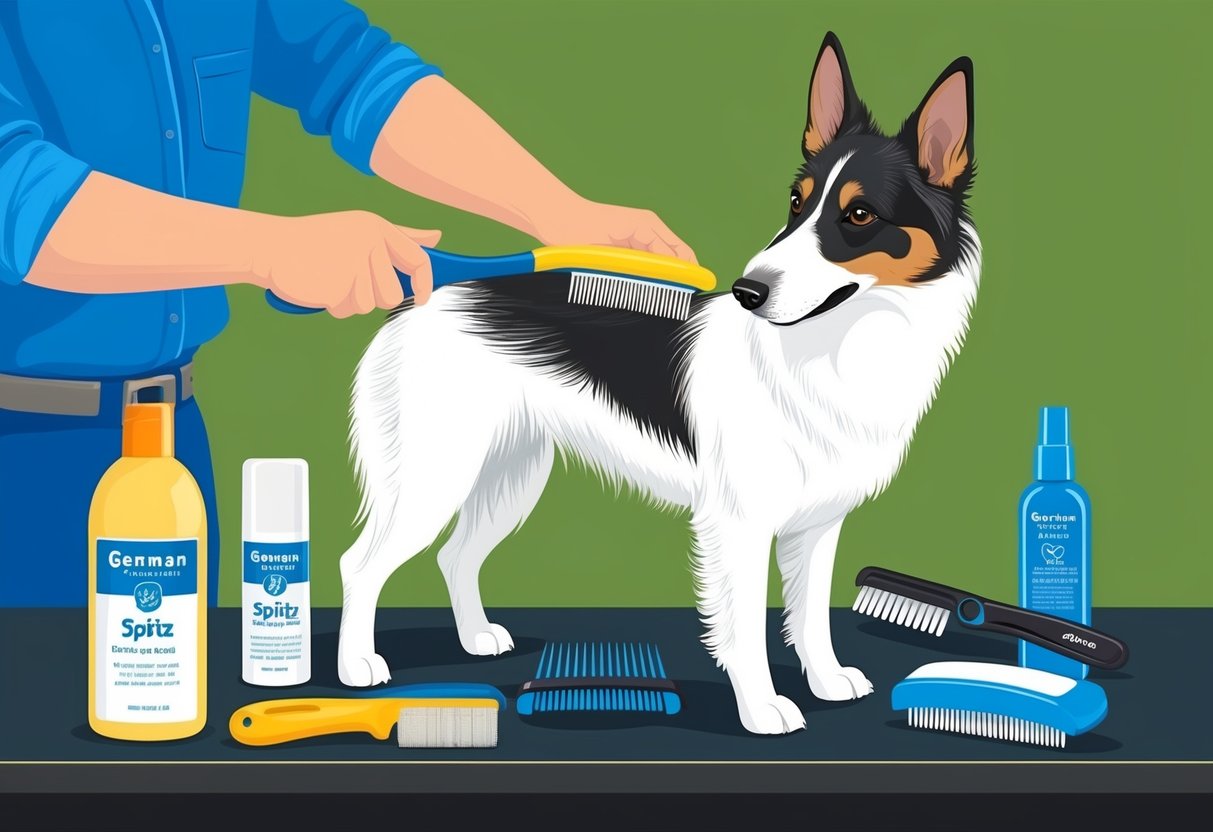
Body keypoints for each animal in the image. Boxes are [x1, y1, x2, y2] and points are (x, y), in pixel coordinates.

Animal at [337, 32, 980, 737]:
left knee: (455, 556)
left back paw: (476, 638)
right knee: (360, 565)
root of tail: (426, 294)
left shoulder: (818, 523)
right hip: (432, 477)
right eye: (796, 202)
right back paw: (356, 668)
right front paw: (762, 708)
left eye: (860, 213)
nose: (749, 291)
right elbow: (746, 630)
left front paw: (827, 680)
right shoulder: (739, 524)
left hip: (510, 474)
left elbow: (810, 615)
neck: (833, 347)